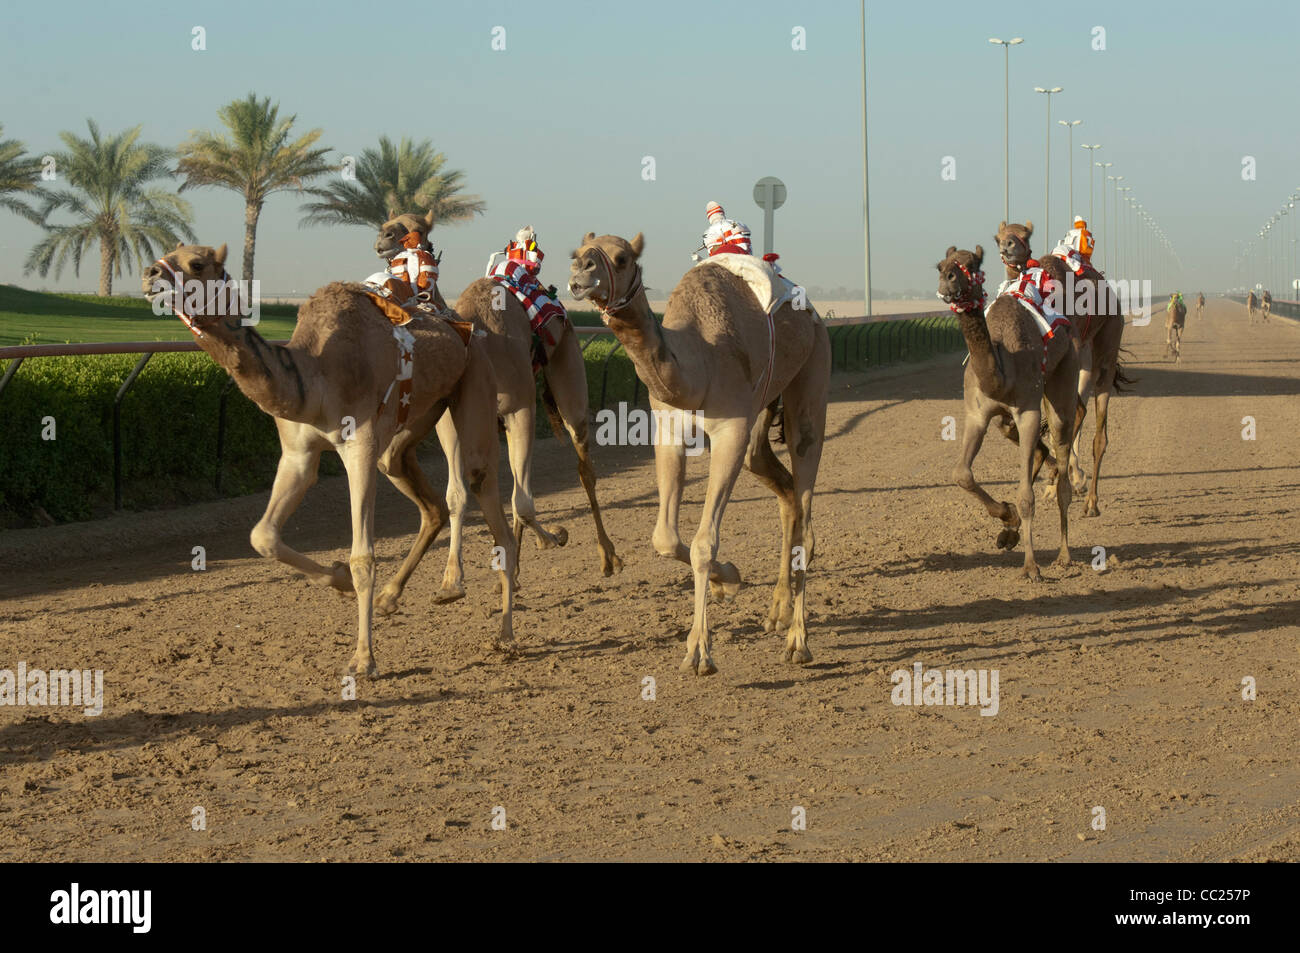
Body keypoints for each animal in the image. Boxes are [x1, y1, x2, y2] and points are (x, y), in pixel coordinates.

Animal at [137, 241, 512, 670]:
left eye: (197, 263)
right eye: (169, 253)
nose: (150, 274)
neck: (313, 376)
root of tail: (459, 327)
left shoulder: (360, 448)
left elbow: (363, 557)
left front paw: (363, 658)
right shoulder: (298, 454)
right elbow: (262, 536)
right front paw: (338, 579)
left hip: (473, 383)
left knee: (479, 490)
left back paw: (494, 624)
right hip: (412, 425)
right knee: (429, 502)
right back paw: (392, 597)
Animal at [569, 232, 832, 670]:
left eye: (622, 258)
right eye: (574, 253)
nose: (579, 274)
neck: (697, 367)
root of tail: (812, 313)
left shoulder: (730, 431)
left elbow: (704, 543)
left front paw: (698, 652)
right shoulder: (668, 430)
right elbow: (664, 537)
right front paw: (729, 581)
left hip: (814, 367)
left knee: (806, 480)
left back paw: (798, 640)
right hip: (764, 408)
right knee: (785, 491)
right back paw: (776, 611)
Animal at [935, 243, 1076, 579]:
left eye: (972, 264)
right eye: (940, 265)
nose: (947, 280)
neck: (1001, 371)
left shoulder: (1028, 412)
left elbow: (1026, 497)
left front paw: (1031, 568)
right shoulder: (977, 415)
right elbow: (962, 474)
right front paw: (1006, 516)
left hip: (1066, 369)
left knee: (1062, 453)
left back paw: (1064, 556)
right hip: (1006, 418)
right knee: (1039, 451)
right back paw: (1010, 533)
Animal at [998, 219, 1123, 517]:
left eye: (1024, 235)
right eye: (998, 235)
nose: (1007, 246)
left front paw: (1065, 478)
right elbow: (1012, 425)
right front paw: (1054, 478)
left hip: (1107, 345)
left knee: (1098, 432)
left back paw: (1090, 502)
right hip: (1084, 359)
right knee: (1078, 412)